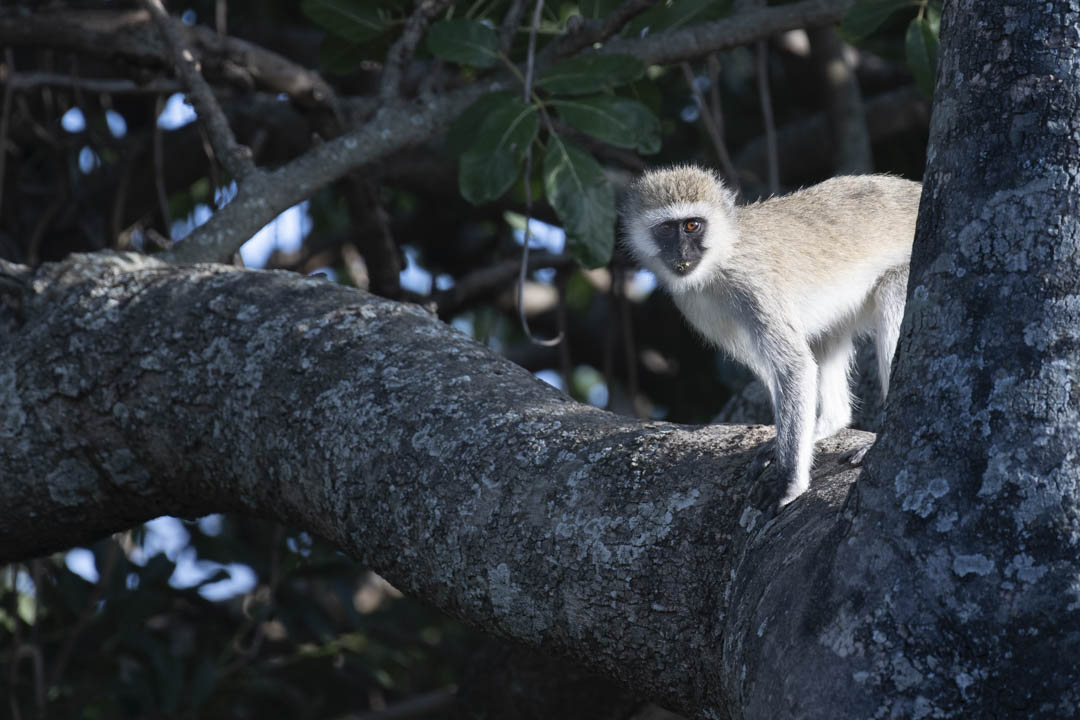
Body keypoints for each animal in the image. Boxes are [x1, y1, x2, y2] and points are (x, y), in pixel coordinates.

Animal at [622, 165, 920, 509]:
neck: (721, 258)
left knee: (892, 291)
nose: (682, 253)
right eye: (667, 229)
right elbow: (775, 368)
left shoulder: (753, 285)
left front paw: (789, 483)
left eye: (692, 225)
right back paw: (829, 422)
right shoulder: (697, 309)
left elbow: (794, 368)